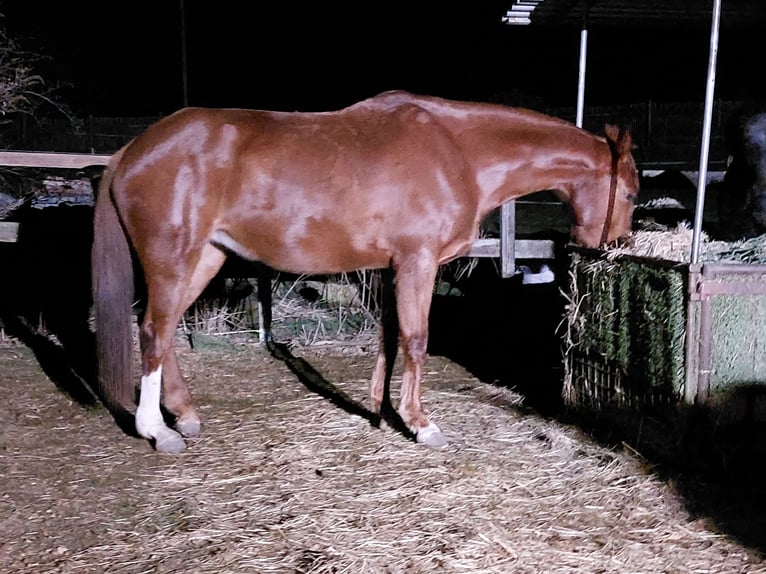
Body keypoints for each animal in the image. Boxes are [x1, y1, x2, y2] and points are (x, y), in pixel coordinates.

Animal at [91, 90, 640, 452]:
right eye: (633, 193)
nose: (614, 246)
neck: (458, 152)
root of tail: (131, 151)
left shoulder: (392, 266)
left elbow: (391, 338)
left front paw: (380, 411)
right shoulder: (418, 262)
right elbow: (416, 339)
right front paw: (421, 424)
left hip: (206, 258)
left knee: (162, 332)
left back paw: (184, 416)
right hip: (173, 259)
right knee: (153, 330)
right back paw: (157, 431)